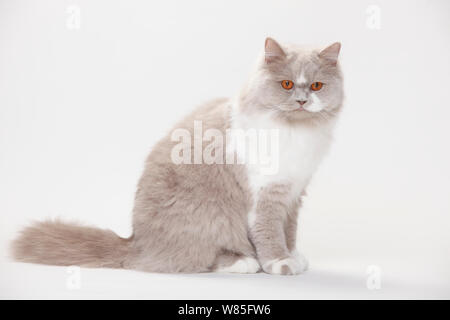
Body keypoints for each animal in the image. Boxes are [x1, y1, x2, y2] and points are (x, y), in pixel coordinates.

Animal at [10, 38, 342, 276]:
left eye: (316, 86)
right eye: (287, 84)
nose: (302, 101)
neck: (295, 132)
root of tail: (135, 242)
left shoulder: (294, 192)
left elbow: (289, 231)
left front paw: (294, 256)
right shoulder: (266, 195)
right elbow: (270, 233)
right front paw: (280, 264)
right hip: (211, 216)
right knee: (194, 259)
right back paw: (243, 262)